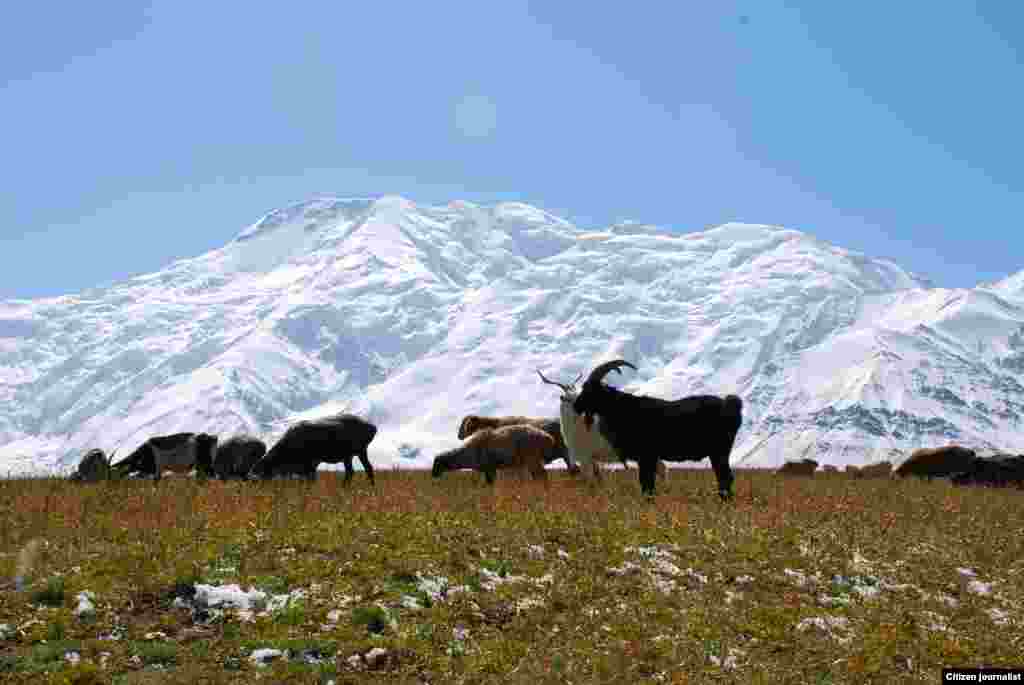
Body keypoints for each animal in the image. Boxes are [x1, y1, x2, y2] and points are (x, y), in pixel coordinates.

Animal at [249, 411, 378, 481]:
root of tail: (373, 427)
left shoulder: (309, 463)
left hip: (355, 452)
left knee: (357, 471)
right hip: (355, 454)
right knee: (362, 470)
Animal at [569, 360, 745, 499]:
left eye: (591, 390)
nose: (576, 406)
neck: (622, 409)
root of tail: (731, 404)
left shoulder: (647, 455)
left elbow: (647, 484)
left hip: (719, 450)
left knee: (725, 477)